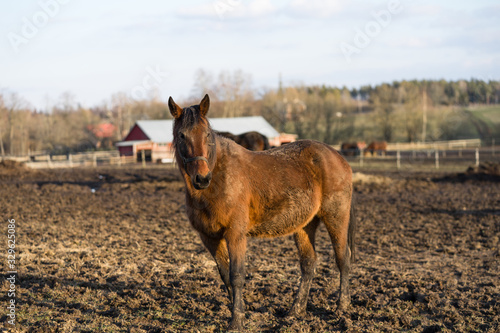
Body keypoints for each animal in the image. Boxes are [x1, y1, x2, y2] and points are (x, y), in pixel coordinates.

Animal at [168, 93, 356, 330]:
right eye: (181, 135)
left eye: (207, 134)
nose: (201, 178)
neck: (219, 179)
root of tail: (338, 157)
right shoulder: (209, 237)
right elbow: (225, 276)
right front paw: (239, 312)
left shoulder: (235, 234)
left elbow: (237, 275)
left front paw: (237, 321)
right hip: (305, 224)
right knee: (308, 264)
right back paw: (295, 311)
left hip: (336, 217)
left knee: (343, 259)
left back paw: (342, 307)